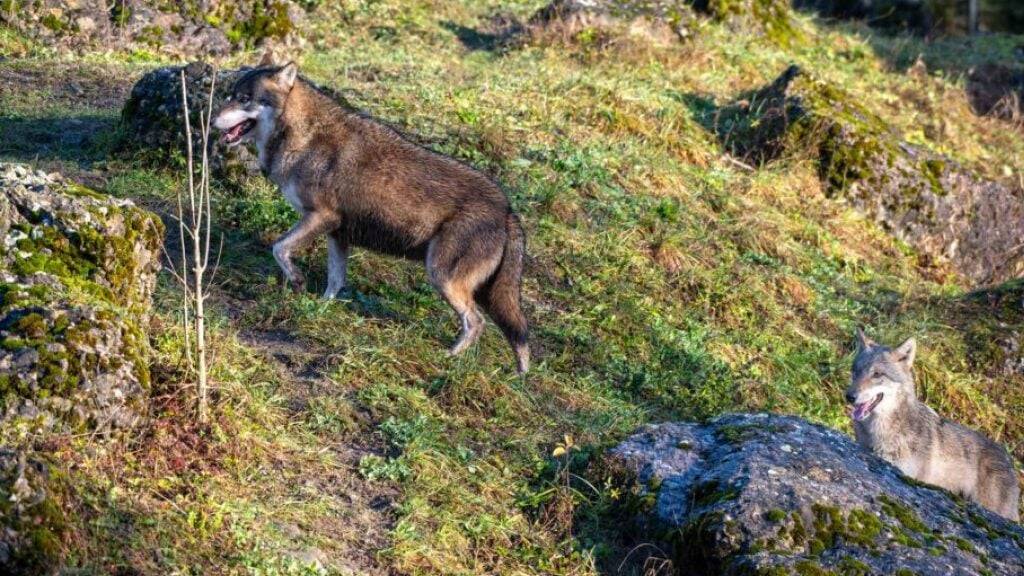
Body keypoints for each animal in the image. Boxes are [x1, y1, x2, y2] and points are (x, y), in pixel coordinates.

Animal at [213, 53, 530, 373]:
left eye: (244, 99)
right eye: (230, 96)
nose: (212, 121)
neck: (304, 137)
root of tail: (508, 210)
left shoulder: (321, 217)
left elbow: (278, 248)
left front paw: (298, 280)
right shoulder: (337, 234)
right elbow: (335, 281)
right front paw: (318, 308)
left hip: (443, 278)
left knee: (476, 322)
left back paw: (449, 358)